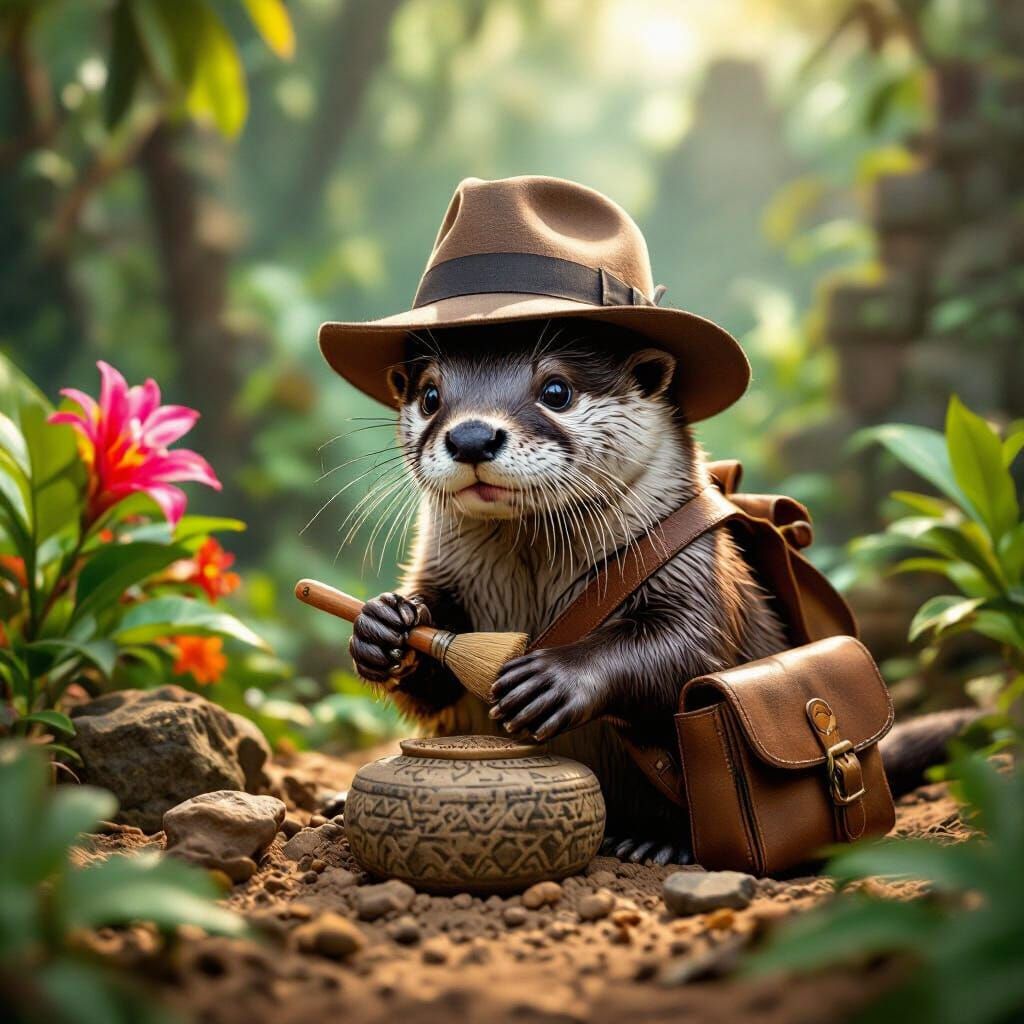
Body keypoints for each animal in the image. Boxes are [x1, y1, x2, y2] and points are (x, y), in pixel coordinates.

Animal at [344, 318, 970, 864]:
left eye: (556, 390)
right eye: (430, 396)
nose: (472, 435)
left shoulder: (693, 564)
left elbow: (685, 647)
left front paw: (555, 679)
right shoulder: (441, 573)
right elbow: (436, 669)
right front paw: (386, 625)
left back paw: (657, 843)